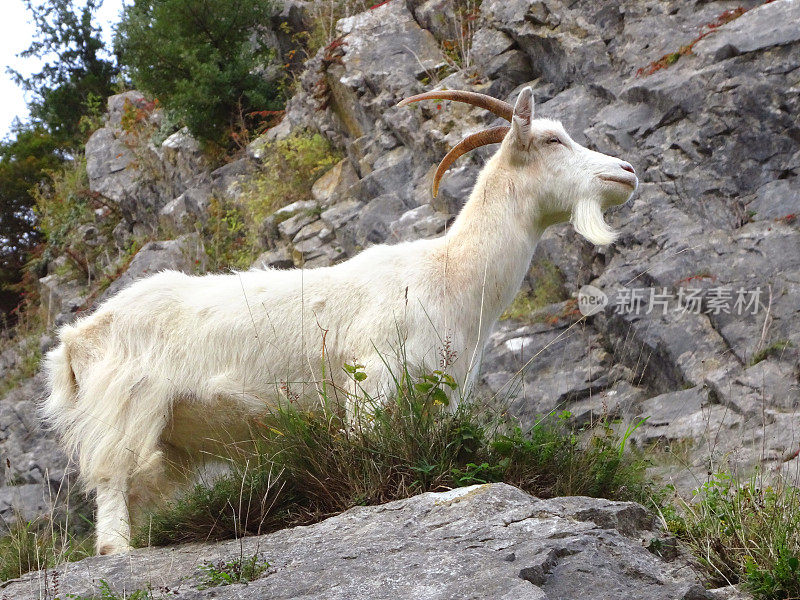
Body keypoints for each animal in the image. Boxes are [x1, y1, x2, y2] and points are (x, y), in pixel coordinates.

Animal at [42, 86, 636, 556]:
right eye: (553, 140)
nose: (626, 172)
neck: (449, 272)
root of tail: (75, 339)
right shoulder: (371, 379)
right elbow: (367, 454)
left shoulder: (436, 395)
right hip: (125, 406)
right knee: (111, 479)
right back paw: (117, 550)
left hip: (167, 437)